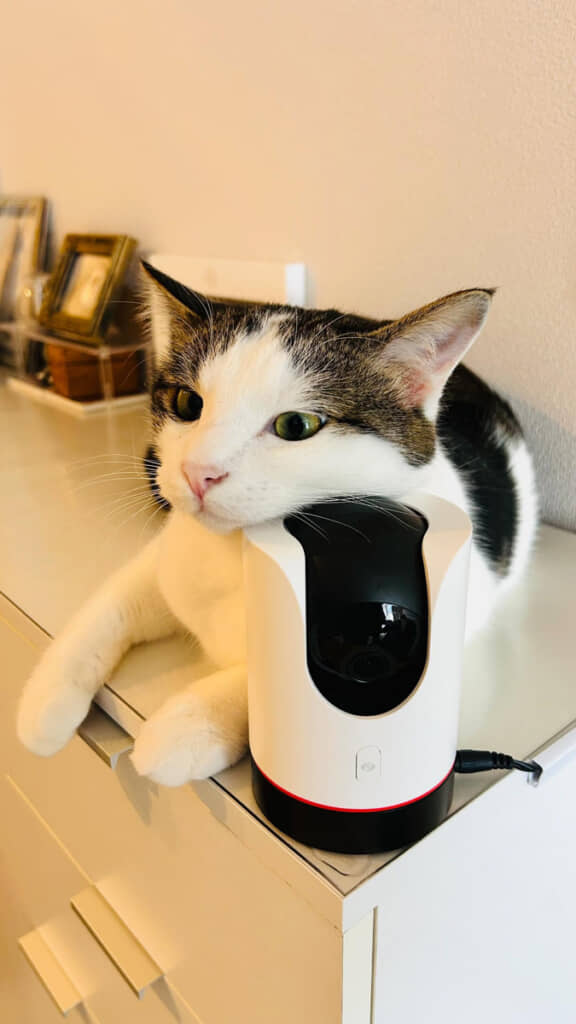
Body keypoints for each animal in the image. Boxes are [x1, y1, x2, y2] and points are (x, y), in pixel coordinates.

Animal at [17, 265, 538, 786]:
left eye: (296, 425)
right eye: (187, 403)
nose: (197, 473)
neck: (234, 554)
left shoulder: (464, 589)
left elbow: (283, 675)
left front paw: (187, 726)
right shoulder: (163, 561)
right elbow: (105, 611)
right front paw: (44, 701)